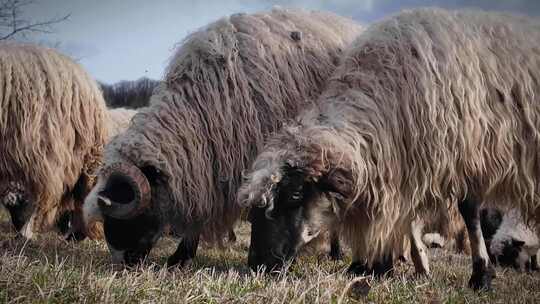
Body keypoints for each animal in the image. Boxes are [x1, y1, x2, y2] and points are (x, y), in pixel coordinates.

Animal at [83, 8, 362, 266]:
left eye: (122, 210)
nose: (121, 262)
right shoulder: (208, 166)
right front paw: (183, 254)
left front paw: (181, 255)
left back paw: (337, 252)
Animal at [238, 8, 540, 290]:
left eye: (296, 195)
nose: (257, 266)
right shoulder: (407, 162)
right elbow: (405, 218)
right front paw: (384, 264)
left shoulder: (467, 154)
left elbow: (469, 213)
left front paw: (481, 275)